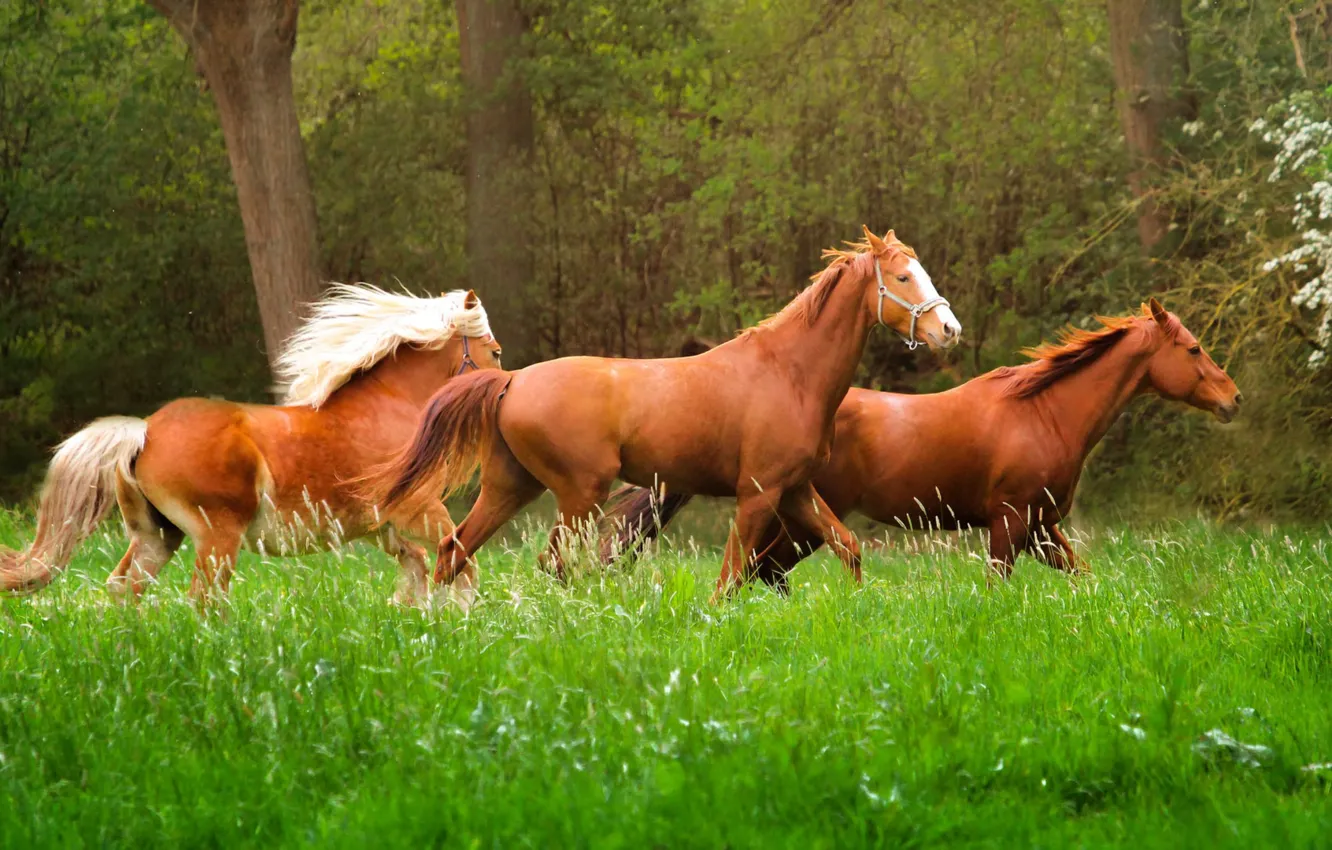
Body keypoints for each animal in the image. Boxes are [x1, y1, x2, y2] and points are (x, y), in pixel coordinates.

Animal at [0, 285, 503, 606]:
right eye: (494, 351)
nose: (504, 389)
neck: (386, 409)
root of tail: (143, 431)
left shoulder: (385, 528)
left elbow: (417, 572)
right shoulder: (420, 512)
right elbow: (459, 567)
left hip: (157, 536)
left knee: (124, 588)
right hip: (217, 536)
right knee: (203, 599)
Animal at [372, 227, 962, 602]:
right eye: (903, 278)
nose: (948, 330)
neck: (788, 372)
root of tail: (511, 380)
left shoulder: (794, 489)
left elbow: (850, 547)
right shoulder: (758, 493)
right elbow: (729, 579)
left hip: (512, 487)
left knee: (455, 551)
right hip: (579, 493)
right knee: (551, 563)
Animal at [603, 299, 1241, 586]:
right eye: (1192, 349)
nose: (1233, 398)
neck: (1045, 414)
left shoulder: (1041, 527)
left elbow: (1085, 578)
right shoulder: (1010, 523)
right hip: (794, 518)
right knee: (761, 570)